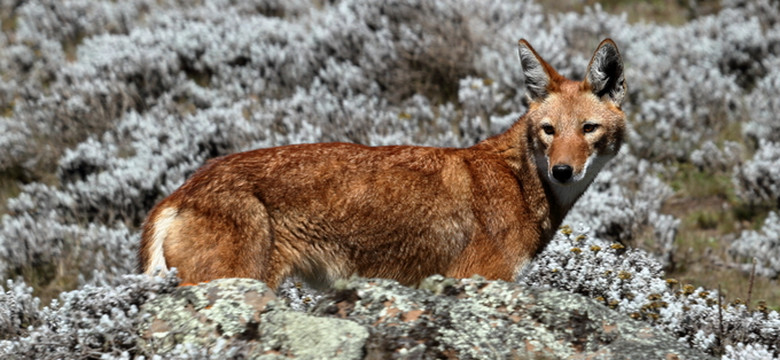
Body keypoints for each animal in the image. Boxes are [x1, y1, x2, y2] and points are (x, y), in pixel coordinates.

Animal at [139, 38, 628, 288]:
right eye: (548, 130)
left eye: (587, 129)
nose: (563, 170)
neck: (523, 184)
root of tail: (182, 190)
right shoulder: (474, 282)